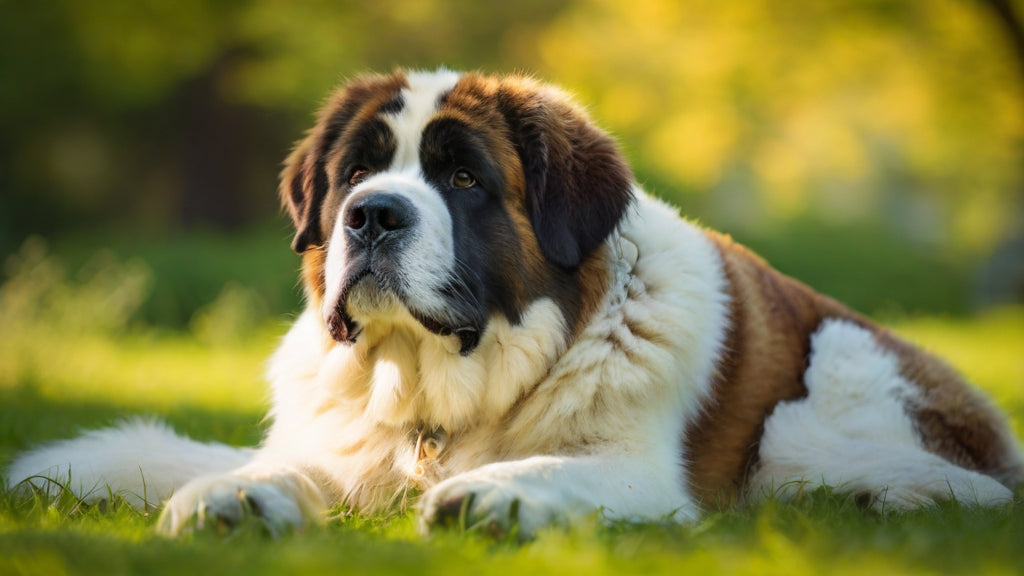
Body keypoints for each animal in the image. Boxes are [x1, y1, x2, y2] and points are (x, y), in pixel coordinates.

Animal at [9, 69, 1024, 537]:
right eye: (356, 175)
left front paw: (496, 495)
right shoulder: (347, 452)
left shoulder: (635, 470)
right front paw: (233, 495)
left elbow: (558, 469)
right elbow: (291, 470)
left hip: (819, 403)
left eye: (463, 178)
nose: (373, 216)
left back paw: (878, 494)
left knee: (965, 489)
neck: (445, 397)